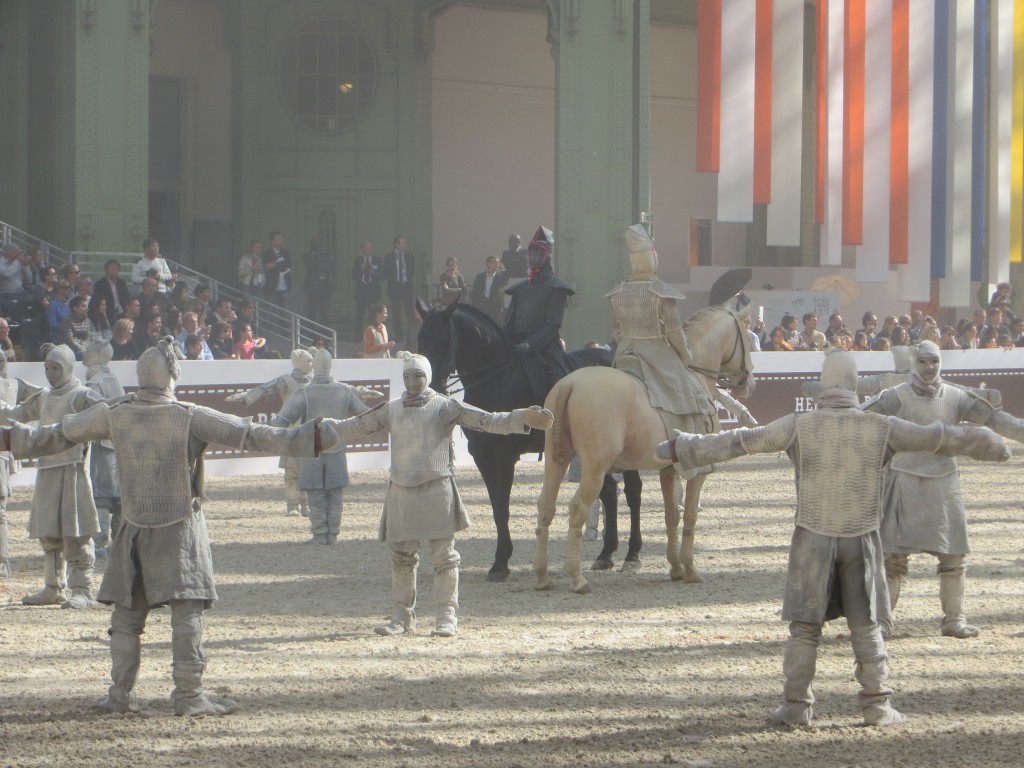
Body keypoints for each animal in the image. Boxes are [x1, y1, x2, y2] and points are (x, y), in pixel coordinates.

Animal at [413, 301, 638, 581]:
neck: (497, 378)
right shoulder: (483, 457)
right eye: (421, 338)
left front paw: (500, 563)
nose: (430, 386)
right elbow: (497, 508)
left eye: (444, 339)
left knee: (633, 490)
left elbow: (503, 506)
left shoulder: (504, 458)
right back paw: (606, 554)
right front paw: (501, 559)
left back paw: (632, 555)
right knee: (608, 491)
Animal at [532, 307, 757, 593]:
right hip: (594, 469)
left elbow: (672, 515)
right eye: (747, 338)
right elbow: (690, 515)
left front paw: (675, 568)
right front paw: (690, 569)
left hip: (556, 461)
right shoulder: (698, 471)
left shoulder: (668, 470)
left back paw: (542, 576)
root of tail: (569, 384)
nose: (748, 382)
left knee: (546, 507)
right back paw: (577, 578)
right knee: (578, 508)